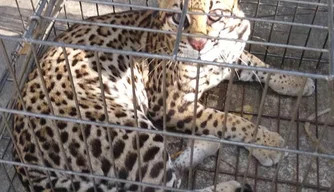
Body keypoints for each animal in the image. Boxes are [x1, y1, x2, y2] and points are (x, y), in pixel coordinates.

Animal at [13, 0, 316, 191]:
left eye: (215, 14)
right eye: (178, 18)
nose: (198, 43)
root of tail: (26, 165)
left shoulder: (229, 56)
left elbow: (256, 64)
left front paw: (296, 80)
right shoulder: (171, 104)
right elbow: (228, 120)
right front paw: (267, 142)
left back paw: (208, 144)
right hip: (132, 129)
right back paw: (232, 183)